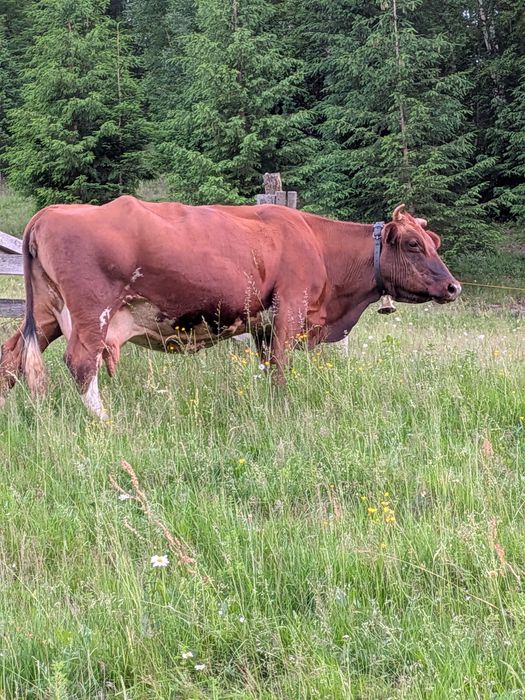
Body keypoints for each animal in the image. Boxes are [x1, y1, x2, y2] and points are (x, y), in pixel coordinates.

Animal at [0, 197, 461, 419]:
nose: (453, 287)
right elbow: (280, 367)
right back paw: (105, 421)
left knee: (13, 355)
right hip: (89, 314)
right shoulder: (290, 310)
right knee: (80, 363)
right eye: (415, 244)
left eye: (434, 240)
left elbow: (266, 366)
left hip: (46, 314)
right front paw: (281, 409)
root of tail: (48, 214)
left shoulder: (262, 323)